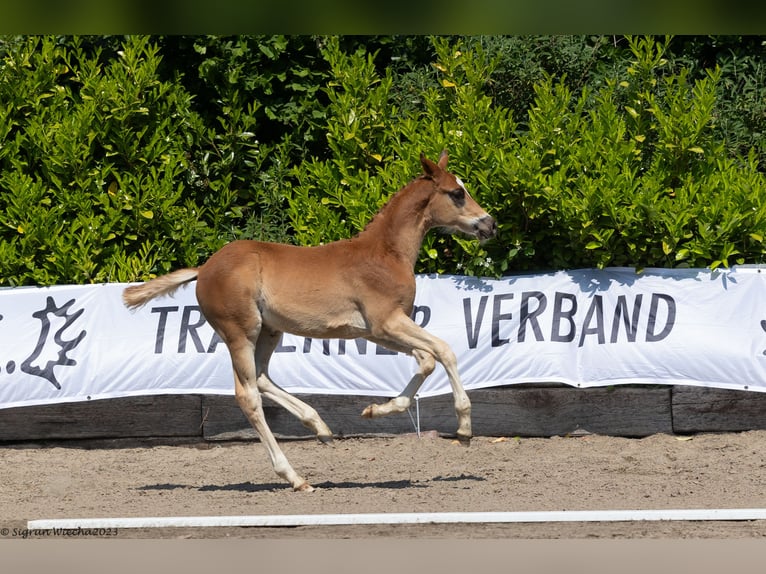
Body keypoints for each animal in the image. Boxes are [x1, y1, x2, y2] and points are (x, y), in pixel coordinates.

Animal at [124, 151, 498, 492]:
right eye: (457, 193)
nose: (489, 224)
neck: (384, 254)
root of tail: (204, 269)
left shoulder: (377, 331)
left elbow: (425, 360)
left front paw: (375, 410)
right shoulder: (387, 323)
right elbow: (443, 351)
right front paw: (464, 429)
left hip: (270, 331)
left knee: (261, 377)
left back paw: (320, 428)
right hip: (240, 332)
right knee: (247, 394)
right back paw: (295, 477)